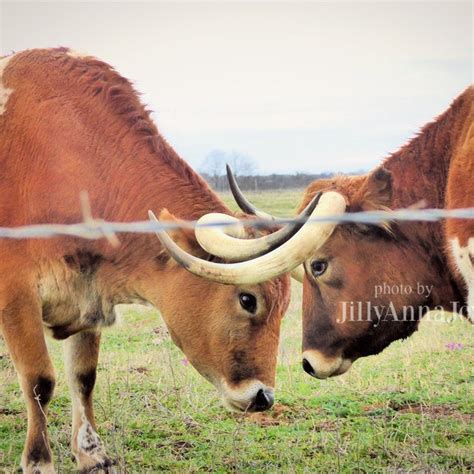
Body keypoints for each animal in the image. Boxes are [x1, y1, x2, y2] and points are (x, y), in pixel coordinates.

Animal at [0, 49, 342, 474]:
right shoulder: (17, 297)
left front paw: (93, 453)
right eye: (247, 299)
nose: (263, 398)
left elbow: (82, 376)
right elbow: (39, 381)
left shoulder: (86, 293)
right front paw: (38, 461)